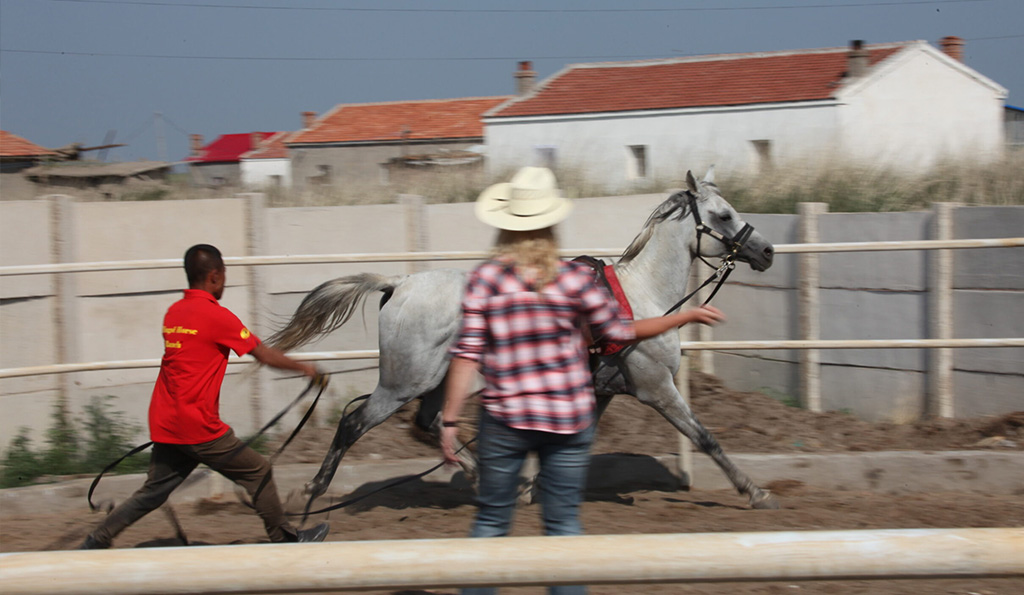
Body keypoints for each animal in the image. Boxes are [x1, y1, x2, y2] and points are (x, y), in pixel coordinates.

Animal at [268, 167, 778, 510]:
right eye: (723, 214)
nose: (767, 250)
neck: (641, 298)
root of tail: (400, 283)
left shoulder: (600, 390)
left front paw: (534, 487)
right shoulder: (658, 389)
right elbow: (706, 438)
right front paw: (756, 492)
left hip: (436, 382)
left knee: (431, 425)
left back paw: (486, 481)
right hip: (402, 383)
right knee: (354, 424)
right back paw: (308, 492)